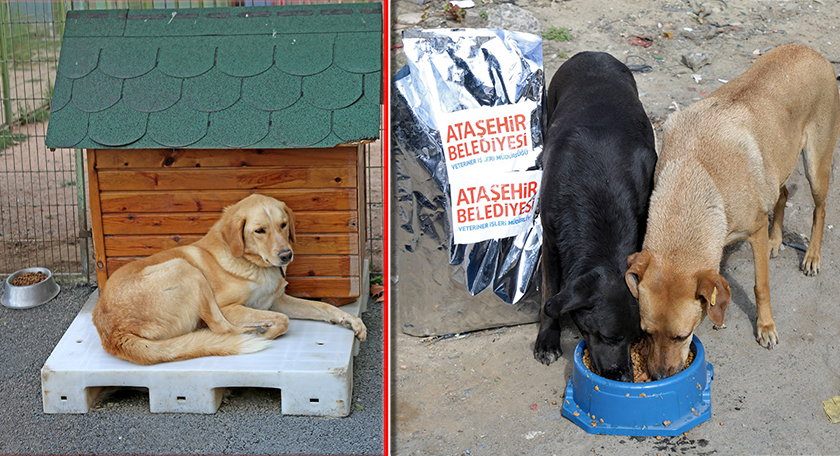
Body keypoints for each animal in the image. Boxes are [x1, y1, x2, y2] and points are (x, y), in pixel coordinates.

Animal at [93, 194, 366, 366]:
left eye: (283, 225)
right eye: (259, 231)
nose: (286, 255)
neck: (253, 264)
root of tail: (113, 333)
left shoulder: (276, 300)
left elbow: (321, 306)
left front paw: (349, 320)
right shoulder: (230, 307)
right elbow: (283, 320)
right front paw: (266, 330)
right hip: (186, 269)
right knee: (220, 329)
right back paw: (253, 333)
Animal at [536, 51, 660, 382]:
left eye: (635, 338)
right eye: (608, 337)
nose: (624, 377)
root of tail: (593, 53)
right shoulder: (550, 241)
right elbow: (549, 291)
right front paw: (547, 338)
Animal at [624, 44, 840, 380]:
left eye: (682, 336)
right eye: (646, 332)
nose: (658, 377)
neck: (692, 174)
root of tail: (810, 50)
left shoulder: (755, 231)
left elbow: (761, 286)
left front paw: (765, 327)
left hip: (817, 165)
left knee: (821, 208)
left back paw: (812, 256)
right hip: (777, 166)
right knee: (783, 194)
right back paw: (777, 239)